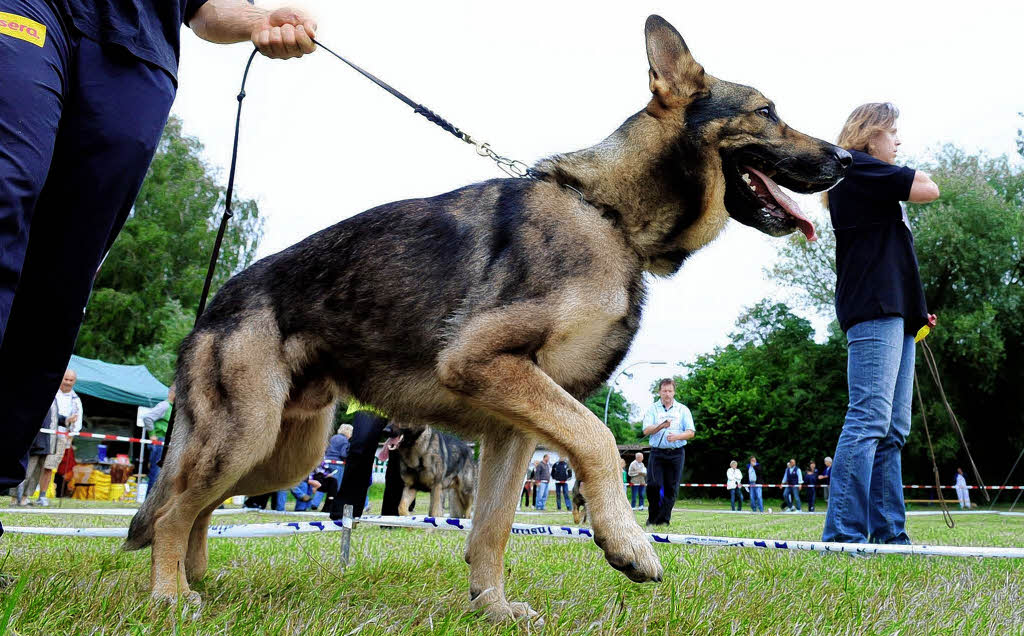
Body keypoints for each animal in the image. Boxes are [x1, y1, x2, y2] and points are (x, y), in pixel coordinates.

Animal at [125, 13, 847, 618]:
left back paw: (196, 578)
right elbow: (597, 439)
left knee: (193, 507)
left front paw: (492, 608)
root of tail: (216, 302)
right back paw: (170, 596)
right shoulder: (488, 366)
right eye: (768, 112)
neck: (608, 216)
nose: (845, 160)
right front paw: (627, 542)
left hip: (280, 455)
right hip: (248, 437)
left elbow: (494, 527)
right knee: (173, 511)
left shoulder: (515, 427)